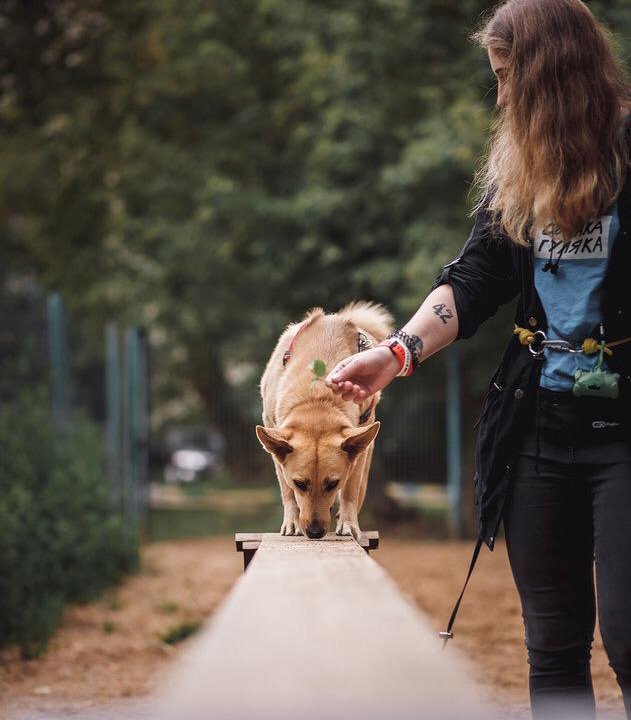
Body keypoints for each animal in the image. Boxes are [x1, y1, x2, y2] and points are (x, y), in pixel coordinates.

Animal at [254, 300, 392, 540]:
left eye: (332, 483)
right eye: (300, 483)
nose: (315, 532)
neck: (317, 398)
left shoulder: (358, 449)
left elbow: (350, 490)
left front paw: (348, 523)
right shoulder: (274, 435)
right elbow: (286, 491)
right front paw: (292, 522)